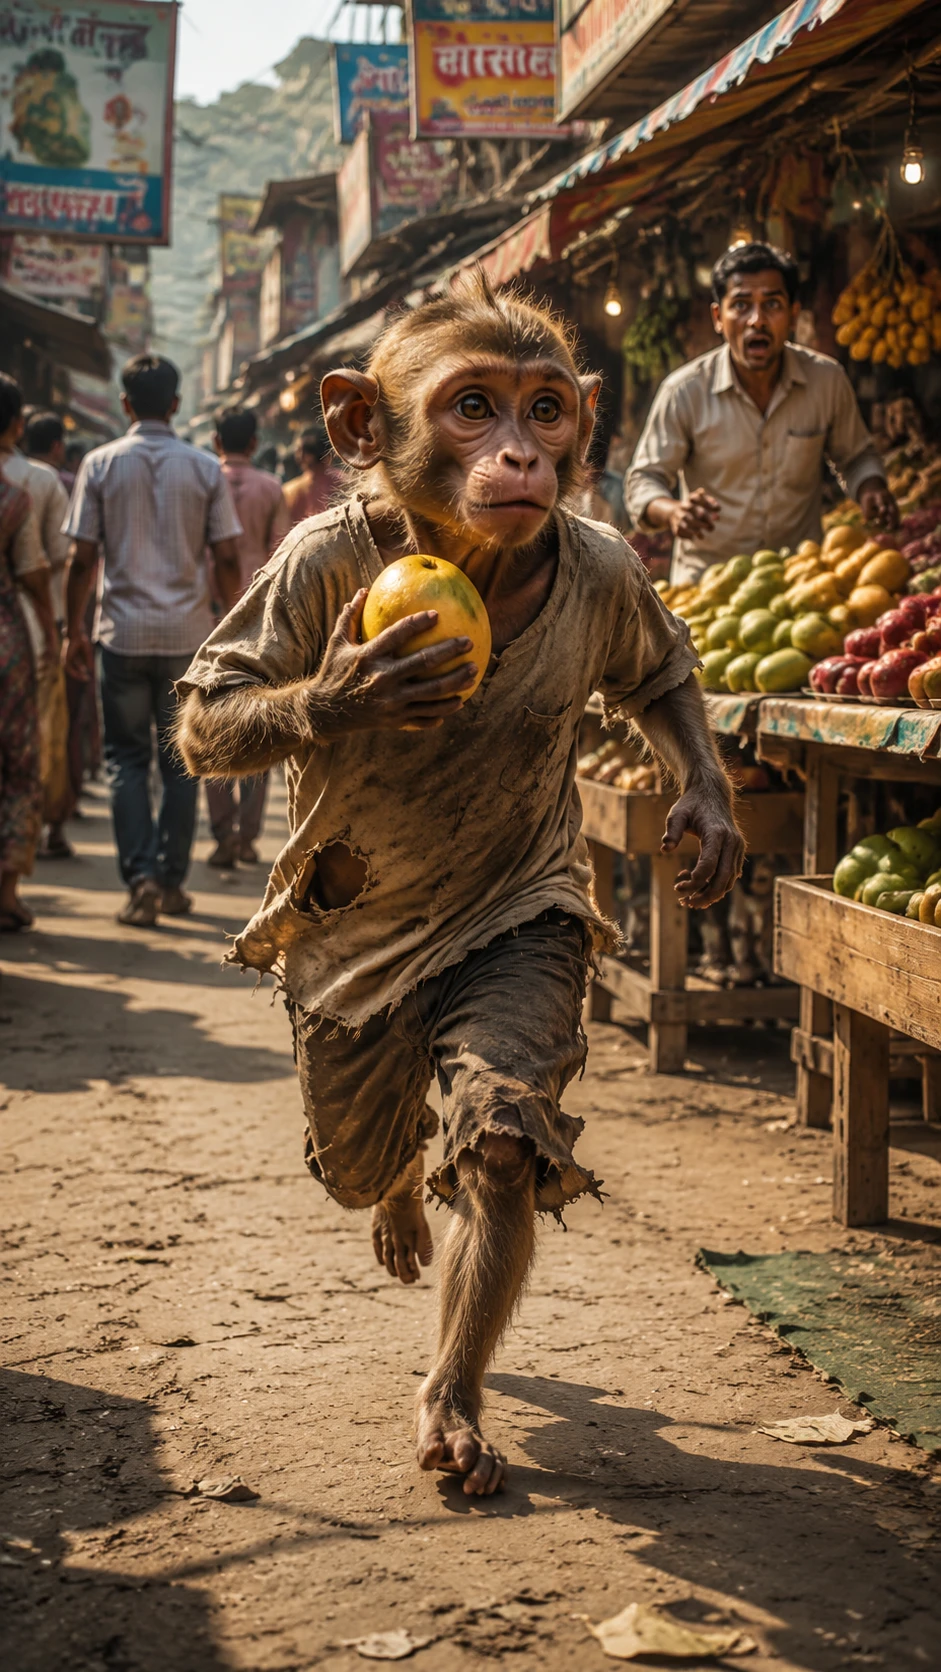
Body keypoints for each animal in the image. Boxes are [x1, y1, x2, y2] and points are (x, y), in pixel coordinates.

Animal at [176, 271, 744, 1496]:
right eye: (471, 406)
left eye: (545, 407)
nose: (527, 458)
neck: (463, 556)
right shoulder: (299, 567)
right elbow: (215, 710)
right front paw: (349, 690)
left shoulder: (614, 568)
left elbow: (661, 680)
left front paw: (707, 823)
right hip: (341, 1043)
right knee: (353, 1146)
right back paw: (393, 1212)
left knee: (456, 1129)